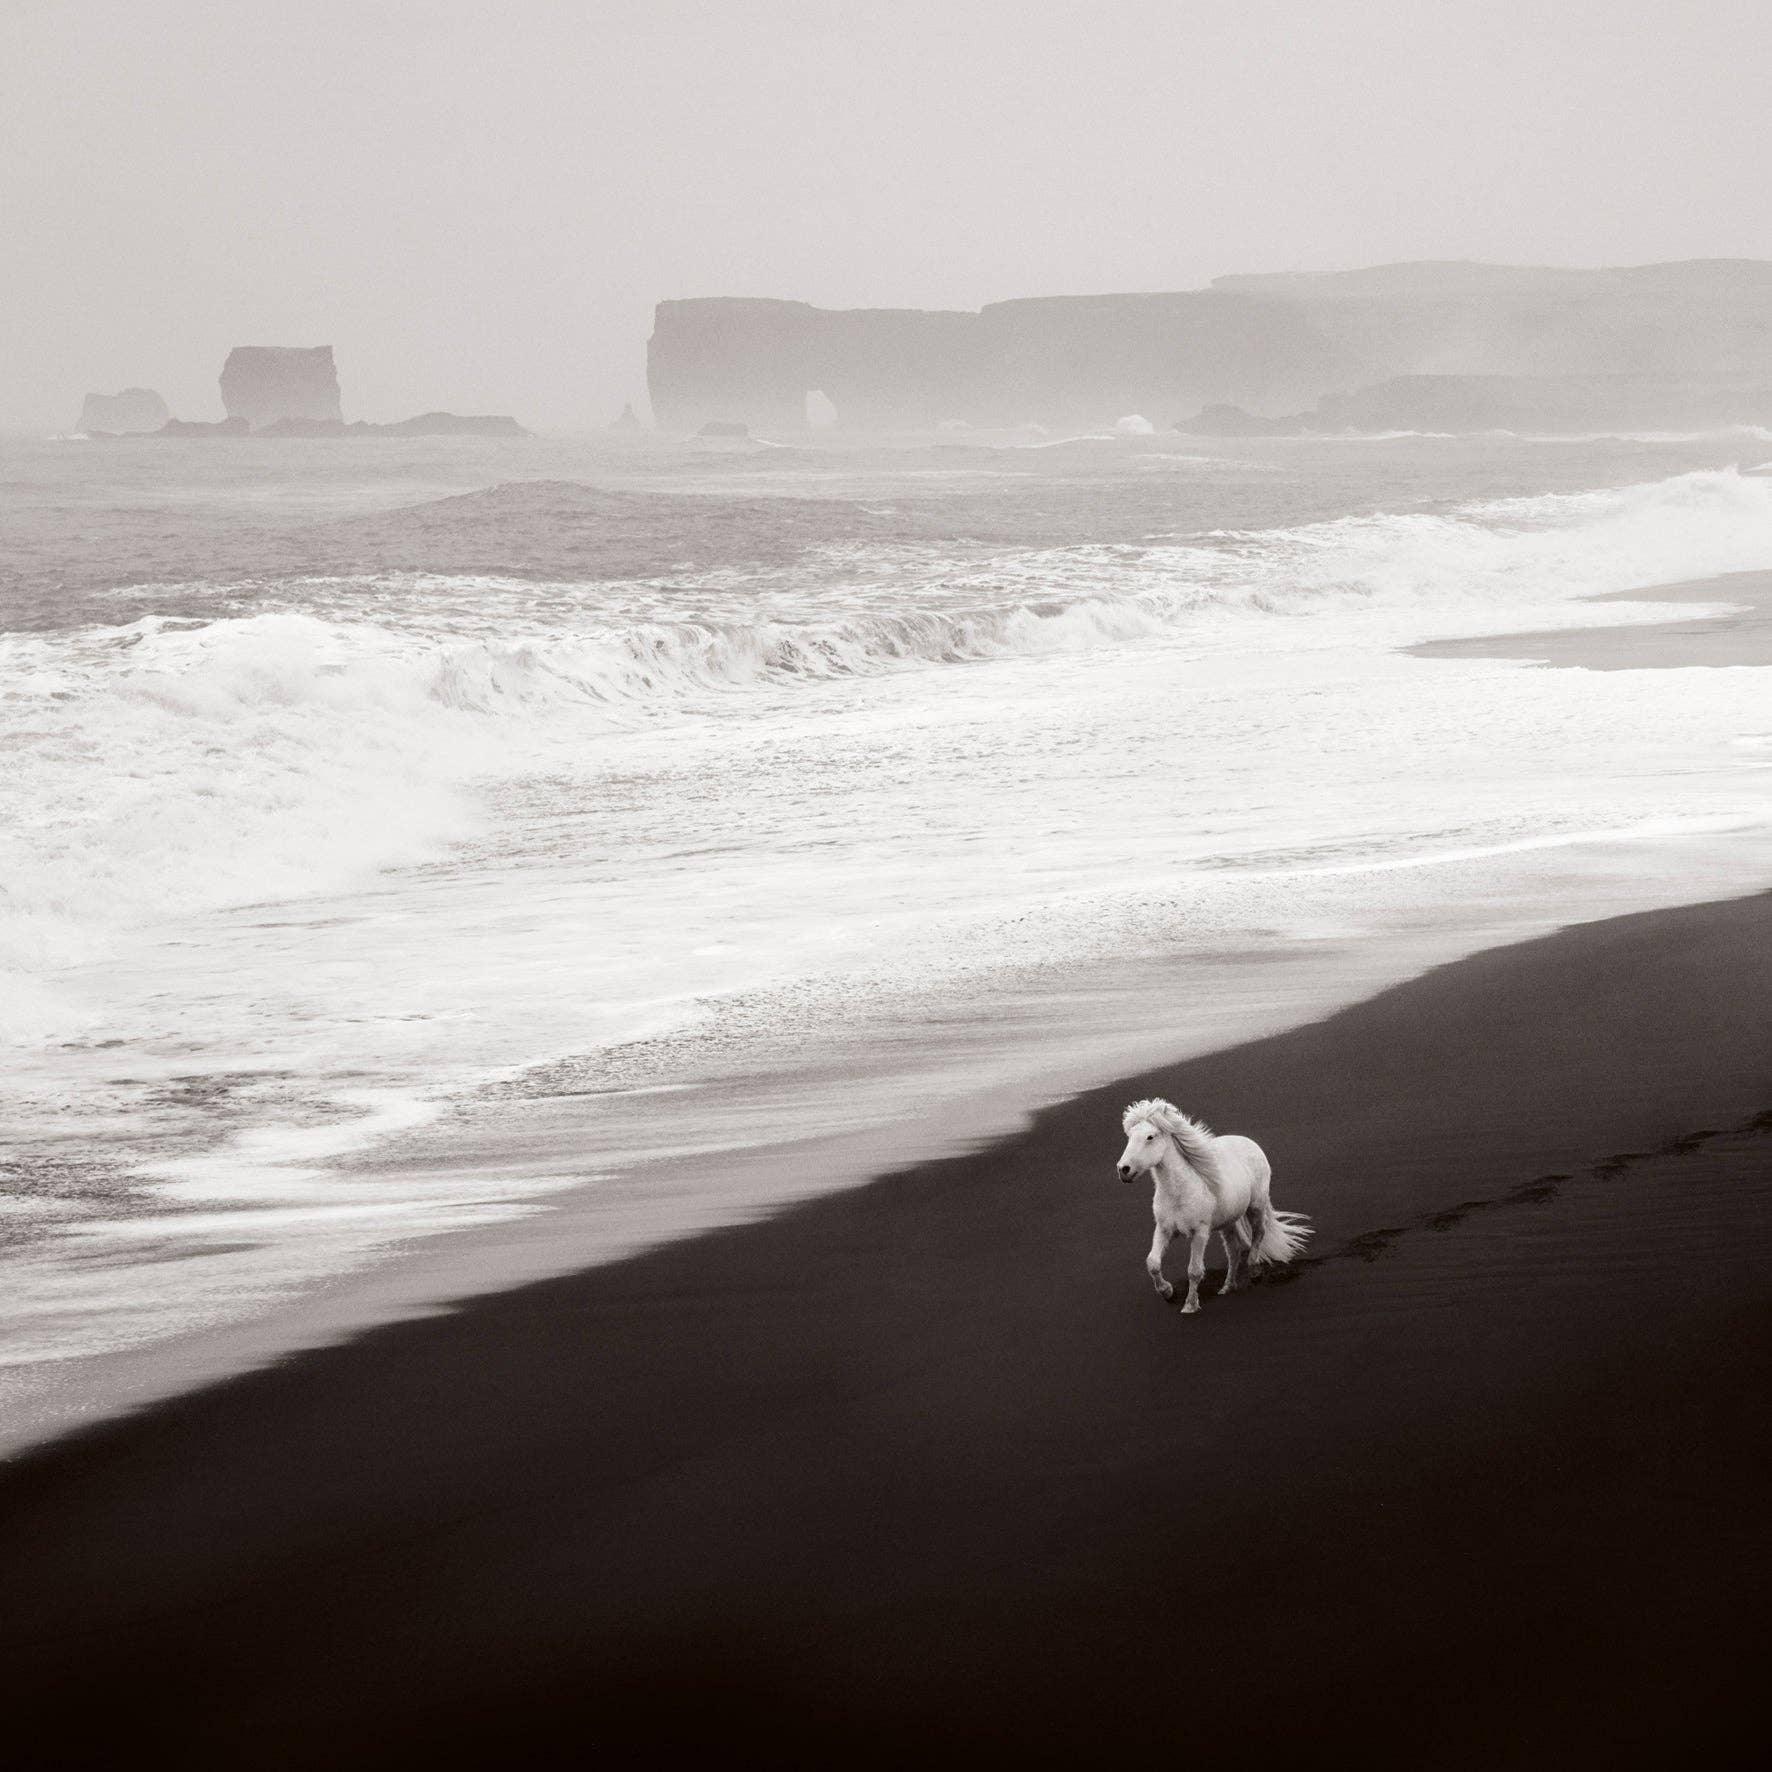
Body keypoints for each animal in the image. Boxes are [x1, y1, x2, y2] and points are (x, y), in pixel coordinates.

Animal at [1115, 1098, 1311, 1313]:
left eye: (1150, 1137)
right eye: (1129, 1136)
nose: (1123, 1170)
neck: (1179, 1192)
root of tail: (1250, 1142)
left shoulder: (1200, 1232)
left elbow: (1194, 1270)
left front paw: (1190, 1305)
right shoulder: (1164, 1229)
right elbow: (1153, 1263)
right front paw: (1167, 1292)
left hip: (1256, 1207)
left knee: (1258, 1234)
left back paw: (1253, 1270)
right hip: (1228, 1222)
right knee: (1234, 1252)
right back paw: (1227, 1287)